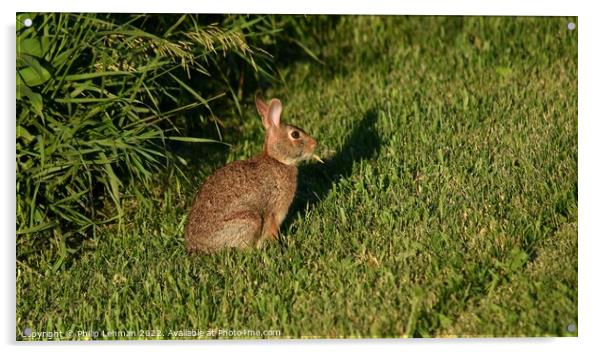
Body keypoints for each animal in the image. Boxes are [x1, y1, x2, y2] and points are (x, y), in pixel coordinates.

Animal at [185, 95, 318, 253]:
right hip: (250, 219)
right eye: (295, 134)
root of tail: (196, 246)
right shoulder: (273, 210)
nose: (314, 144)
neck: (277, 160)